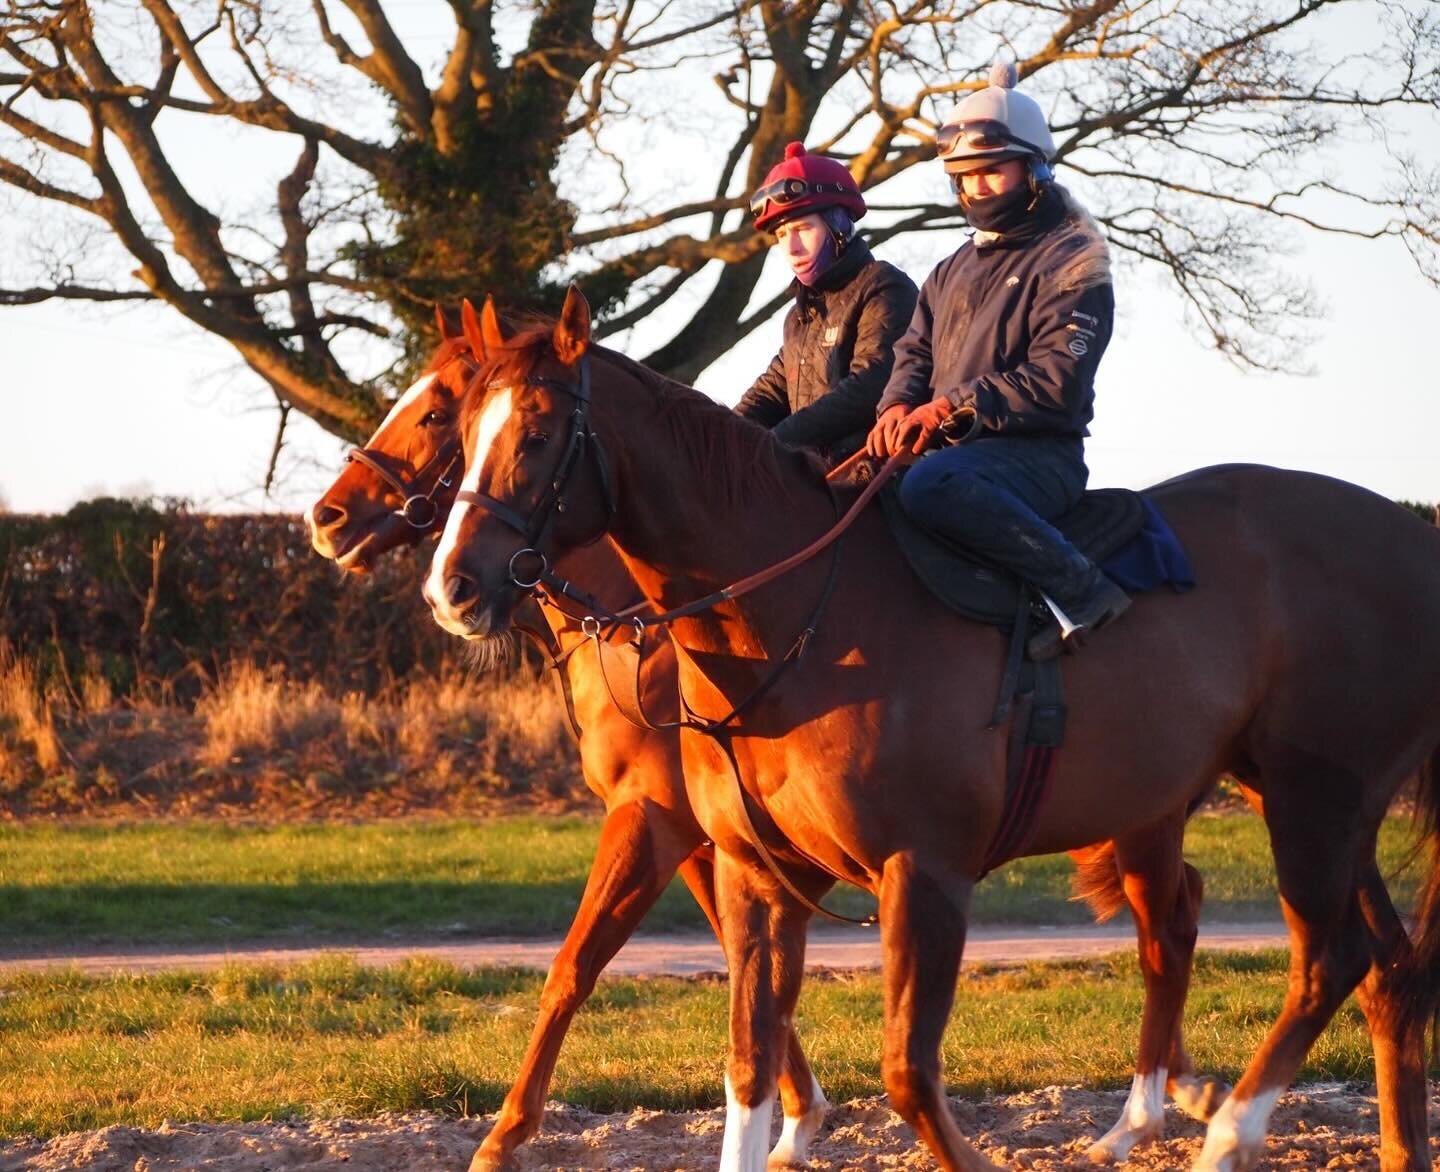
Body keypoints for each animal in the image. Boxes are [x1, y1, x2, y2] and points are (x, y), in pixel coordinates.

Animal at [426, 286, 1440, 1172]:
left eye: (537, 433)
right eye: (463, 430)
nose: (453, 587)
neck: (805, 618)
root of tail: (1406, 538)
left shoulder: (923, 873)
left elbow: (908, 1075)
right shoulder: (752, 874)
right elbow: (747, 1067)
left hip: (1314, 799)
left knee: (1326, 960)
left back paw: (1224, 1134)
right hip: (1302, 802)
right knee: (1380, 967)